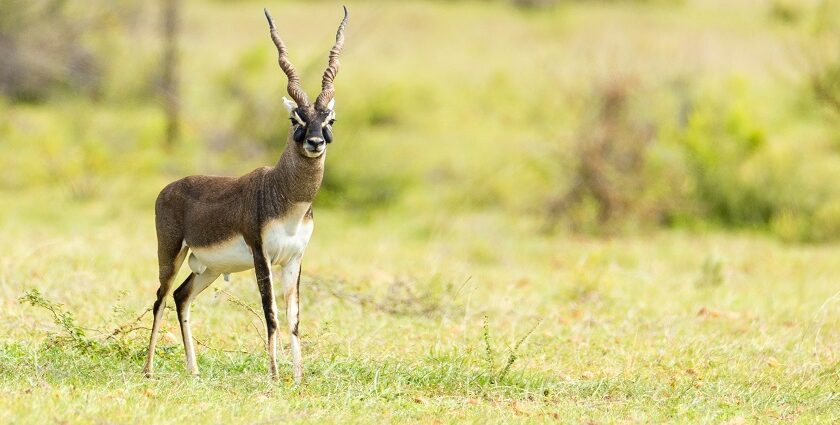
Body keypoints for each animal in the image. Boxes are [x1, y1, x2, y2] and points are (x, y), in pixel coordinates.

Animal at [143, 6, 346, 384]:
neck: (286, 199)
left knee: (181, 296)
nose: (315, 142)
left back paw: (194, 370)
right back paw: (148, 370)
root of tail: (170, 188)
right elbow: (271, 315)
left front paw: (298, 378)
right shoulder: (261, 254)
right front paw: (275, 376)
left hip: (207, 267)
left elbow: (294, 320)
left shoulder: (295, 259)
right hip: (171, 253)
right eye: (295, 118)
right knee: (160, 297)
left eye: (330, 119)